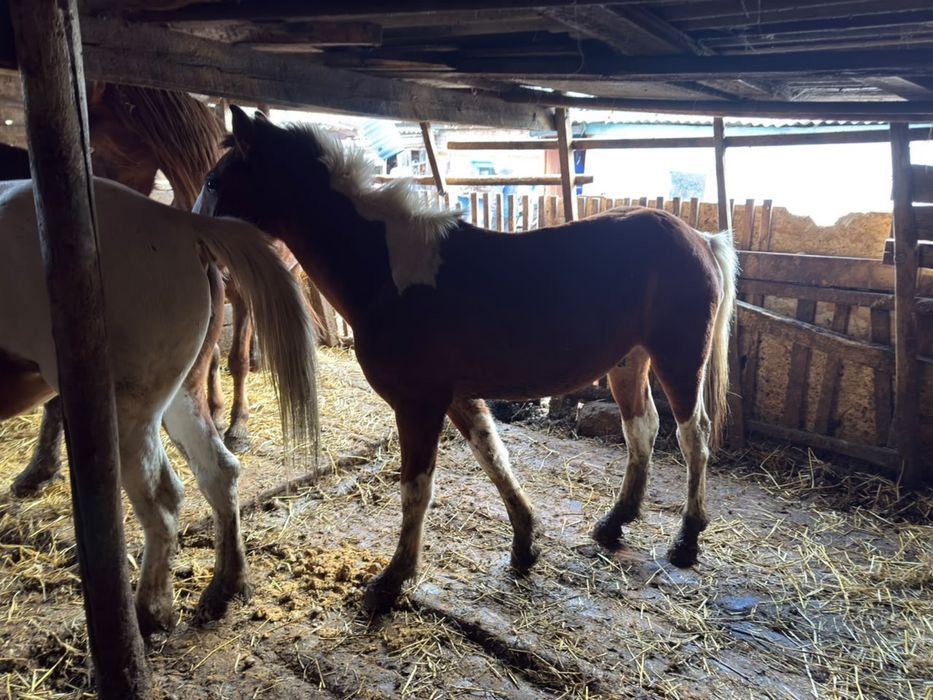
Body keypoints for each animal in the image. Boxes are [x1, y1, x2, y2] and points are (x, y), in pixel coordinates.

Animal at [0, 176, 318, 634]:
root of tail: (180, 224)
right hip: (178, 394)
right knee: (219, 471)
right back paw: (224, 587)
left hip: (126, 407)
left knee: (163, 499)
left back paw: (151, 612)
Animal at [196, 107, 738, 612]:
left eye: (215, 180)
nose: (198, 253)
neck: (388, 274)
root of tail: (700, 238)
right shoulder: (457, 397)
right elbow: (493, 457)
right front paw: (524, 544)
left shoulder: (417, 404)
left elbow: (416, 488)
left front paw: (392, 580)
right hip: (630, 361)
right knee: (641, 429)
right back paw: (614, 523)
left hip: (679, 359)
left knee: (693, 436)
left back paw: (687, 540)